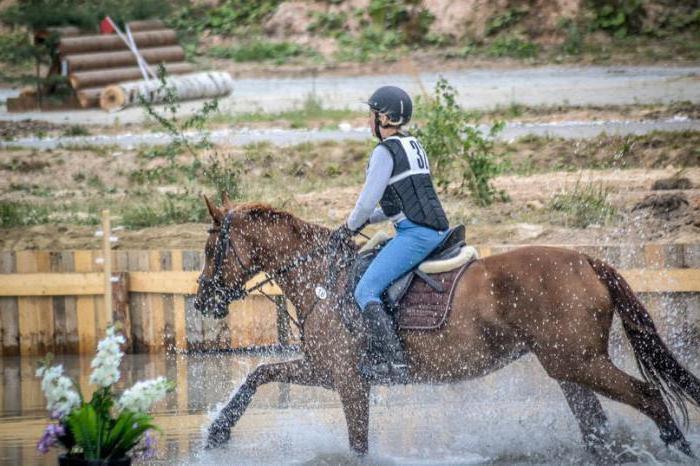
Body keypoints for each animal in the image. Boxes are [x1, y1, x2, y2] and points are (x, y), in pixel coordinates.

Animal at [194, 198, 696, 456]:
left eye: (210, 250)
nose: (202, 300)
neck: (322, 278)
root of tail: (587, 260)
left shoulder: (348, 379)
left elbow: (358, 442)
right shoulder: (326, 368)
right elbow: (260, 374)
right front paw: (218, 432)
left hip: (580, 361)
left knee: (648, 396)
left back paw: (678, 449)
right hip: (567, 367)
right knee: (596, 427)